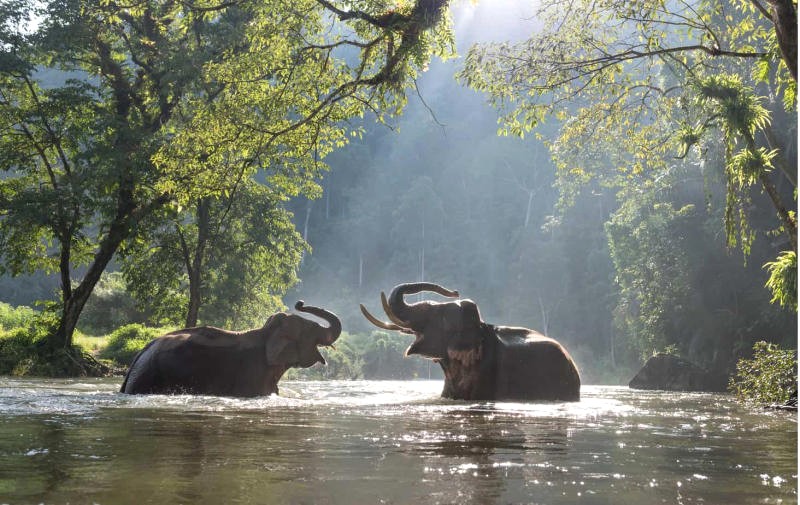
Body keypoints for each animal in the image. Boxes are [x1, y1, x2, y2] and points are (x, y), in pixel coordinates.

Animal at [119, 300, 340, 398]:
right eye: (311, 328)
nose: (300, 302)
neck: (265, 332)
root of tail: (139, 354)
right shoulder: (252, 372)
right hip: (148, 377)